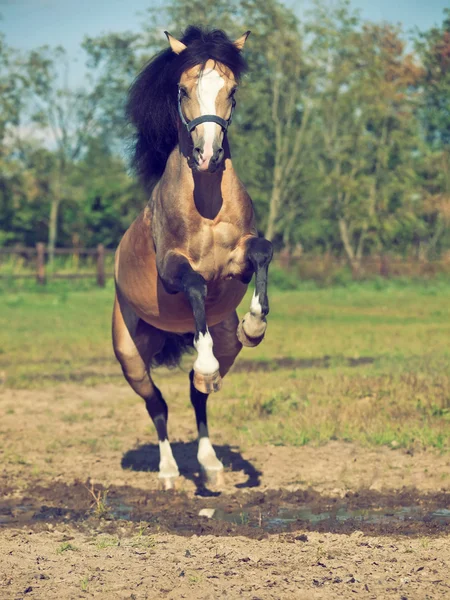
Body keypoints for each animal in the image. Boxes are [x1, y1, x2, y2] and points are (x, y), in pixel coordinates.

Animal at [114, 25, 272, 490]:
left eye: (232, 91)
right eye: (183, 90)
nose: (207, 156)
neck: (206, 198)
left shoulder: (239, 261)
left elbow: (263, 252)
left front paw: (255, 325)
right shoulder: (172, 271)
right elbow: (196, 284)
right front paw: (204, 357)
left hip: (222, 341)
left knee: (197, 393)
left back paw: (210, 465)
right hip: (130, 355)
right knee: (157, 405)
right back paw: (168, 472)